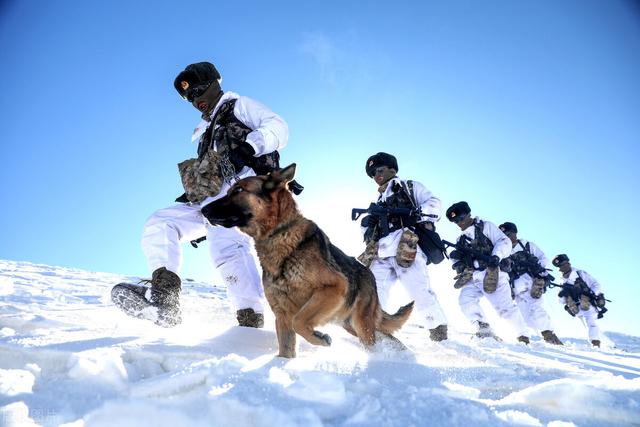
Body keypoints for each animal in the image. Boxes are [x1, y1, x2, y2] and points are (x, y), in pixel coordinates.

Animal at [201, 164, 416, 358]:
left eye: (238, 190)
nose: (203, 210)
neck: (279, 233)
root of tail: (369, 275)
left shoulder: (334, 287)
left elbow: (299, 321)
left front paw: (319, 338)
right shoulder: (282, 316)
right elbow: (286, 349)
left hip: (361, 325)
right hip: (351, 325)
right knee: (388, 337)